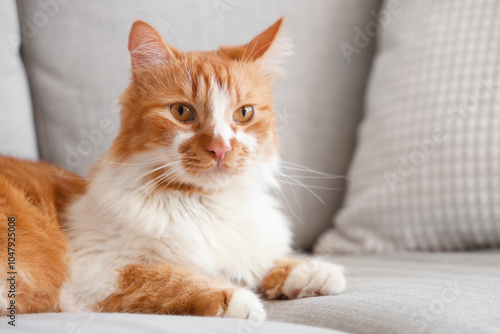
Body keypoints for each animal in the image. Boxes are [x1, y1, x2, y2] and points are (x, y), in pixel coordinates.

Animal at [0, 17, 344, 320]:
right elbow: (172, 278)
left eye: (244, 113)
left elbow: (262, 262)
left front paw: (315, 272)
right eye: (182, 112)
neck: (205, 205)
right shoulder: (95, 270)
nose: (221, 148)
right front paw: (239, 300)